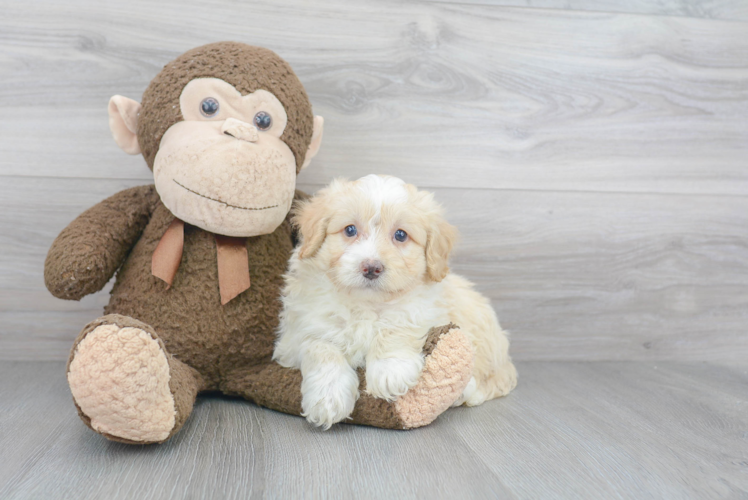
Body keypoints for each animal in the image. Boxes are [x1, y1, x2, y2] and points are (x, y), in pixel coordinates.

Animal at [276, 174, 520, 428]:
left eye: (401, 235)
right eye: (350, 230)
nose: (371, 267)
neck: (365, 304)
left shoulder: (422, 310)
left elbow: (397, 326)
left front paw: (390, 370)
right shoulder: (297, 333)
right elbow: (319, 348)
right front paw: (328, 398)